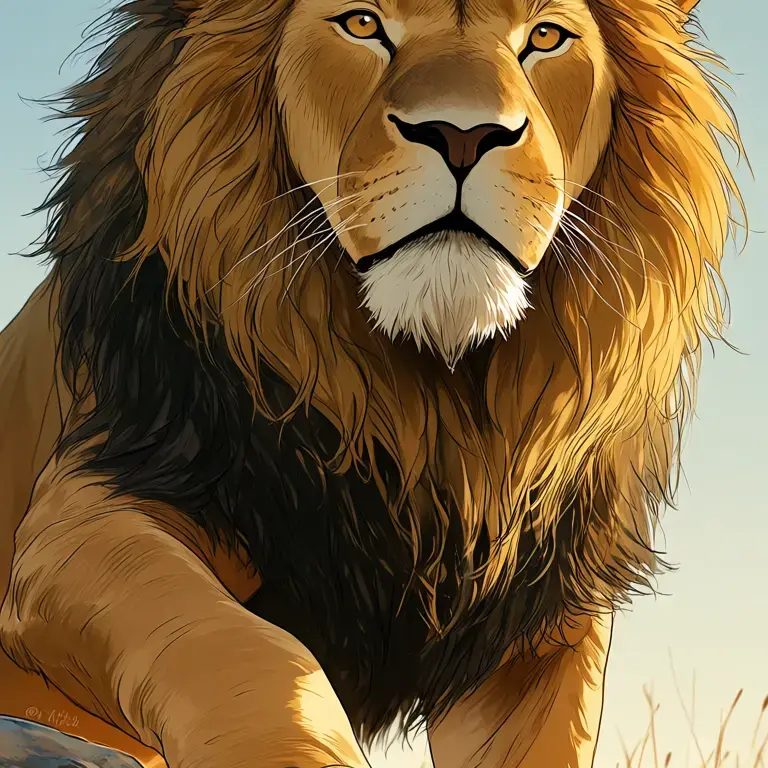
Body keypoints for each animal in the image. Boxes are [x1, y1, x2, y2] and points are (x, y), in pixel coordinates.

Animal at [0, 0, 743, 766]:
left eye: (544, 37)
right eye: (362, 23)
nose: (464, 135)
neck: (429, 402)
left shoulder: (535, 631)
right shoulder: (91, 511)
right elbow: (251, 658)